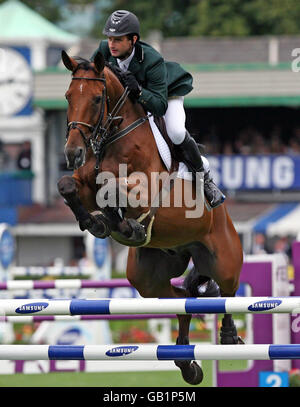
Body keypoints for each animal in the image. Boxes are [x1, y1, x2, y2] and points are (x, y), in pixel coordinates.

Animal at [56, 51, 244, 386]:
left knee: (228, 294)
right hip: (148, 278)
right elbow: (69, 186)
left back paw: (229, 336)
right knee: (182, 301)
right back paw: (187, 364)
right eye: (68, 96)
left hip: (224, 259)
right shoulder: (85, 184)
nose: (73, 153)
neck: (113, 138)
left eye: (96, 99)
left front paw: (117, 223)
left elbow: (113, 188)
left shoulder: (147, 189)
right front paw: (100, 224)